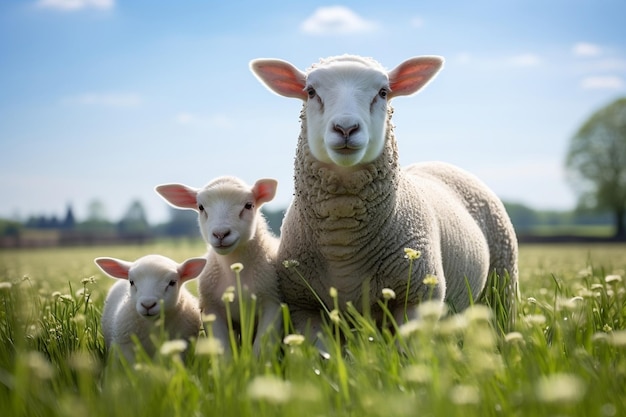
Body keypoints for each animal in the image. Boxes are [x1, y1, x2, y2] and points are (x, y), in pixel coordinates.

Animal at [155, 176, 282, 354]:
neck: (235, 271)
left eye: (248, 205)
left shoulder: (272, 303)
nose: (220, 234)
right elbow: (223, 348)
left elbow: (262, 346)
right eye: (201, 207)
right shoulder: (211, 309)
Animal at [249, 53, 516, 342]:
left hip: (504, 282)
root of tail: (438, 163)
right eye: (310, 92)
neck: (344, 250)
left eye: (383, 92)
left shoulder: (416, 298)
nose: (346, 128)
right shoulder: (304, 306)